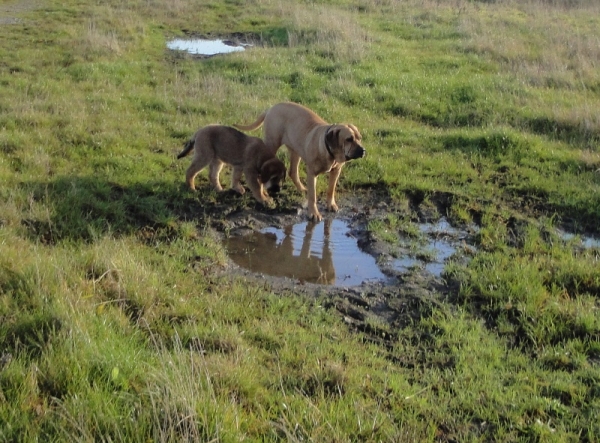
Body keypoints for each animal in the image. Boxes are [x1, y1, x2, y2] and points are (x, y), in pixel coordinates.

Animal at [236, 103, 366, 222]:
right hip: (272, 144)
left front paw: (331, 205)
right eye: (349, 139)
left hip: (295, 150)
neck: (329, 151)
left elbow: (331, 189)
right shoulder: (312, 173)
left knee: (292, 172)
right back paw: (262, 191)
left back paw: (302, 189)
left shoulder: (336, 171)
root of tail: (271, 108)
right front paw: (314, 213)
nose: (363, 150)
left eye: (360, 138)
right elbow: (313, 196)